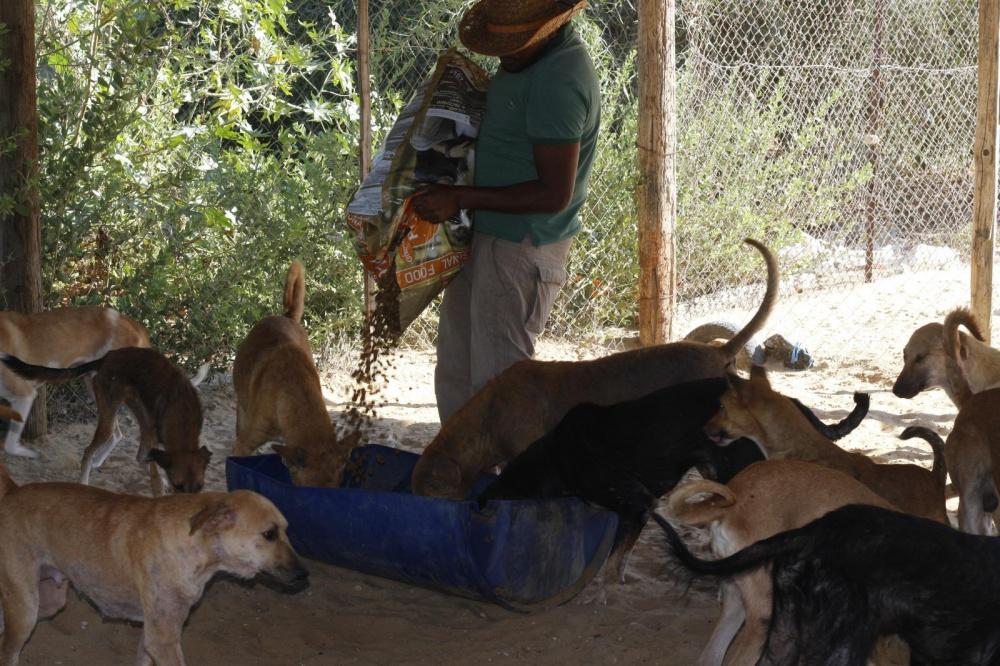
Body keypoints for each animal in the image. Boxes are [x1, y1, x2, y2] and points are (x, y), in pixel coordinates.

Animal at [0, 305, 150, 457]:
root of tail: (134, 324)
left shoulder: (25, 395)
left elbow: (10, 446)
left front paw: (28, 453)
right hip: (96, 387)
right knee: (115, 434)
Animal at [0, 464, 307, 666]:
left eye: (287, 530)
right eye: (269, 534)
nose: (305, 575)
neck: (193, 544)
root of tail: (14, 491)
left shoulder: (152, 635)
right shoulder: (163, 640)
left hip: (47, 602)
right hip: (27, 608)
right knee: (8, 650)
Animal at [1, 348, 211, 495]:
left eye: (200, 486)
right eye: (179, 485)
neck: (181, 414)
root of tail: (108, 357)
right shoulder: (154, 440)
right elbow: (155, 477)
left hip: (140, 416)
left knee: (139, 456)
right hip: (109, 419)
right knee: (89, 451)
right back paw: (84, 483)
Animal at [476, 378, 869, 584]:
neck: (556, 455)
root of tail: (788, 400)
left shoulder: (636, 503)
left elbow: (612, 564)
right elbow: (619, 556)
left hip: (733, 472)